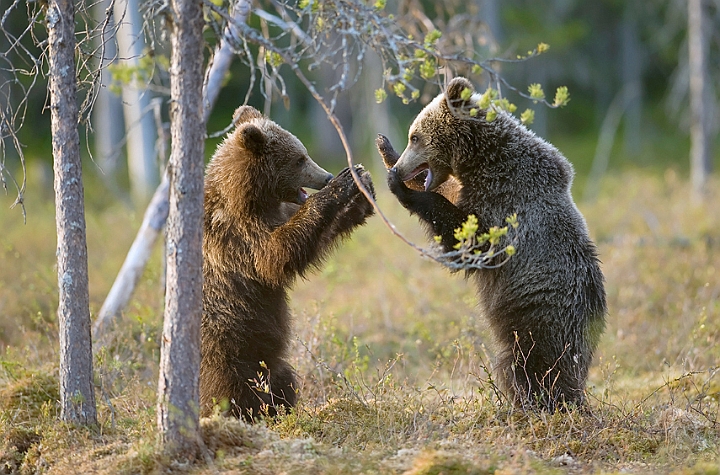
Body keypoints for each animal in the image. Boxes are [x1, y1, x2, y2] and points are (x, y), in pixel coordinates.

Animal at [201, 105, 374, 420]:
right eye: (299, 159)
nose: (326, 175)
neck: (251, 199)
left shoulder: (276, 214)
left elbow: (313, 238)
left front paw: (361, 191)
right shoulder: (238, 237)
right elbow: (277, 256)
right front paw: (343, 184)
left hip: (269, 357)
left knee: (283, 379)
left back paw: (280, 408)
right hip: (228, 343)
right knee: (230, 388)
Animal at [376, 78, 608, 412]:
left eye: (415, 136)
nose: (401, 170)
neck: (483, 161)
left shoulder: (507, 203)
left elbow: (469, 242)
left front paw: (405, 190)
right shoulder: (471, 189)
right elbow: (450, 197)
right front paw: (386, 149)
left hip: (540, 318)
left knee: (528, 366)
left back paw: (536, 403)